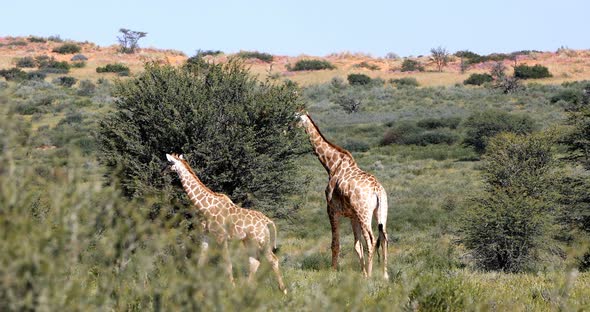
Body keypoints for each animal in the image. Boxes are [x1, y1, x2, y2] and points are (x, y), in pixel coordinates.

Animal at [165, 152, 288, 294]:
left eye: (170, 162)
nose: (164, 170)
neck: (205, 207)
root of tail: (268, 221)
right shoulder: (206, 236)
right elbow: (201, 262)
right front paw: (196, 287)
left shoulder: (221, 237)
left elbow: (227, 263)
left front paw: (231, 288)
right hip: (249, 241)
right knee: (254, 261)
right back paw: (247, 288)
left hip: (262, 241)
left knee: (273, 260)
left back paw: (283, 290)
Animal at [298, 112, 390, 280]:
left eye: (295, 117)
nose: (288, 127)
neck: (331, 165)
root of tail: (377, 190)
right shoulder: (352, 216)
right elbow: (357, 245)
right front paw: (362, 272)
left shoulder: (332, 209)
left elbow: (336, 244)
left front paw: (333, 271)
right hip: (381, 211)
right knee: (384, 237)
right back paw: (384, 275)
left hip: (364, 213)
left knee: (371, 239)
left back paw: (371, 275)